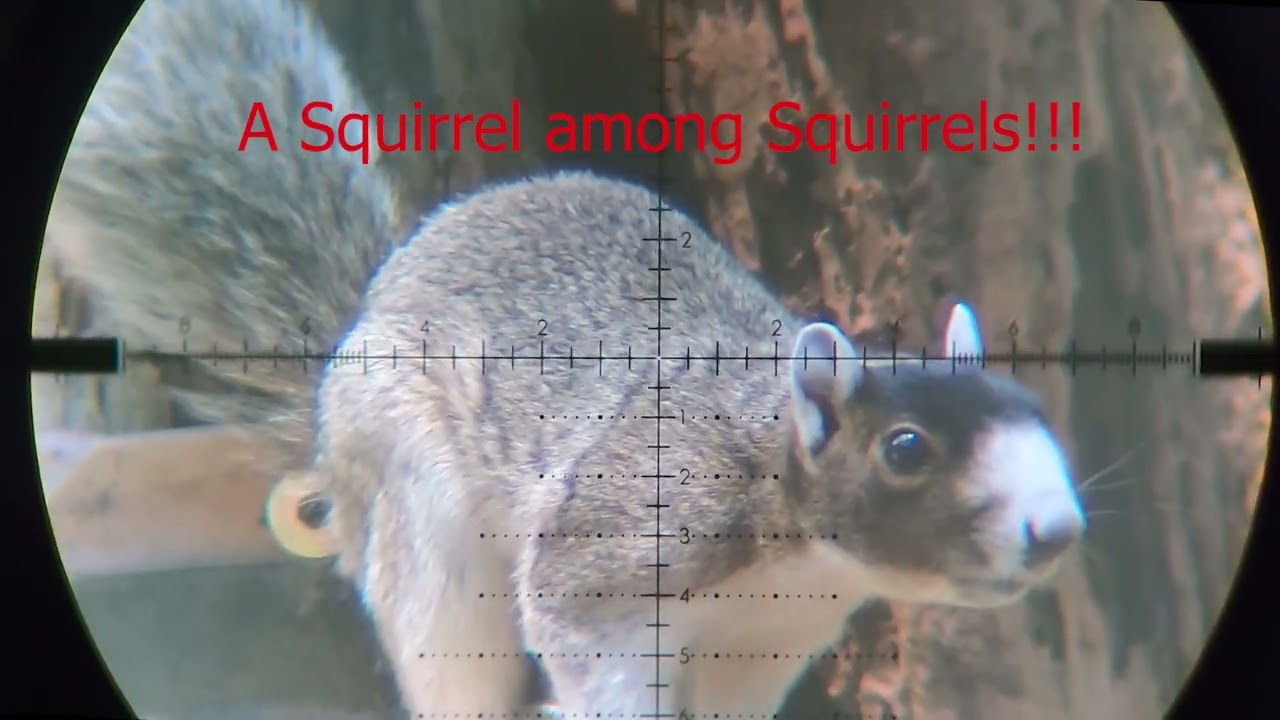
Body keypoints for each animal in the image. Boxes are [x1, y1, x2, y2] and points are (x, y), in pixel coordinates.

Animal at [43, 0, 1087, 717]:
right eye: (905, 449)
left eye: (1033, 410)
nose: (1056, 530)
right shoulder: (617, 548)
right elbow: (583, 641)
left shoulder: (759, 653)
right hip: (423, 521)